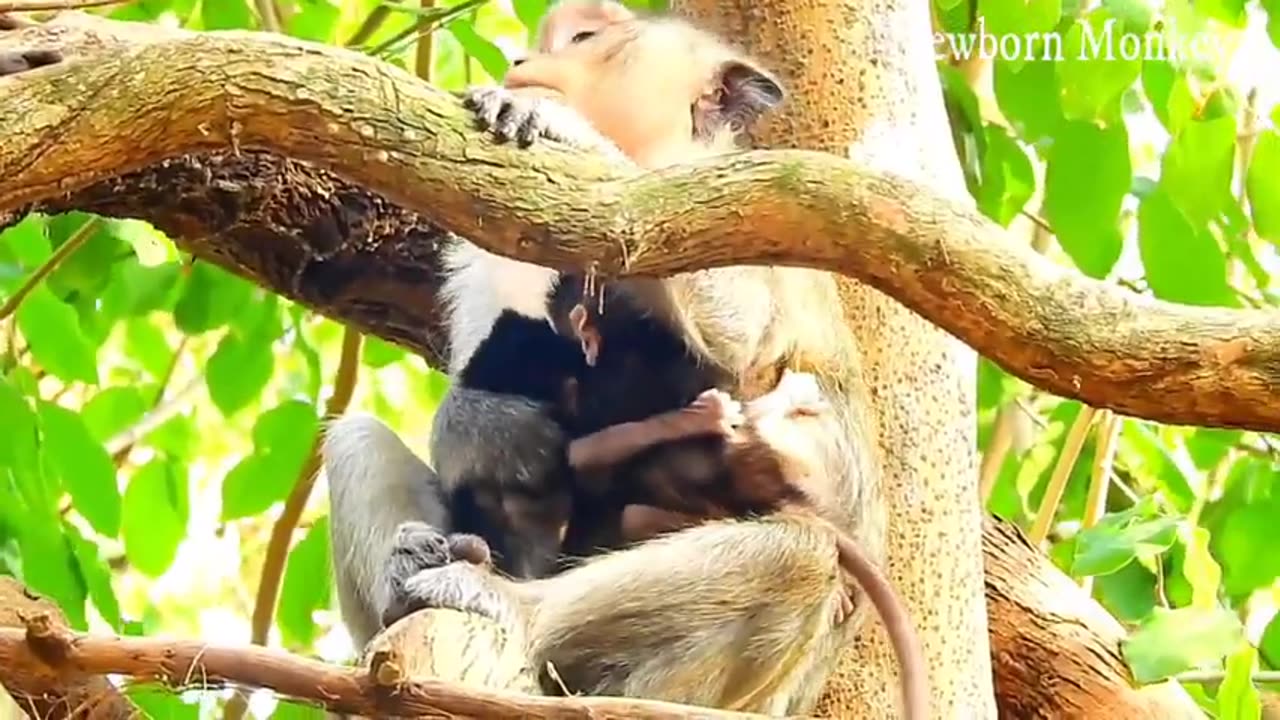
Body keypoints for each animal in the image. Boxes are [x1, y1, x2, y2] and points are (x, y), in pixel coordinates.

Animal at [325, 4, 896, 712]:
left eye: (585, 37)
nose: (522, 62)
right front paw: (487, 427)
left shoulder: (760, 210)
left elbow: (742, 334)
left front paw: (567, 134)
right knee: (357, 436)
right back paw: (410, 579)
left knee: (801, 557)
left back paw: (509, 604)